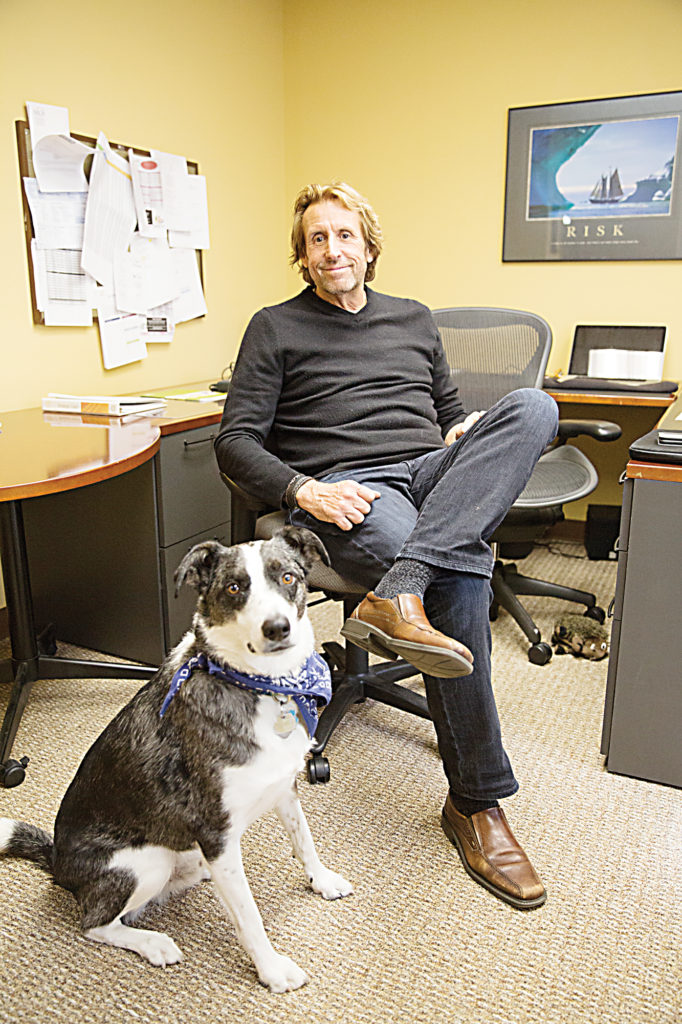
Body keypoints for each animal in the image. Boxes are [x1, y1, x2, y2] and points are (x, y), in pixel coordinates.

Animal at [0, 528, 350, 991]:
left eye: (288, 577)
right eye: (234, 587)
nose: (277, 627)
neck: (259, 684)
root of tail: (58, 860)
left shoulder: (283, 788)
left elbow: (303, 838)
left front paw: (321, 880)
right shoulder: (216, 832)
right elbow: (249, 917)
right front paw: (271, 970)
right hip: (145, 863)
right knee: (95, 923)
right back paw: (153, 943)